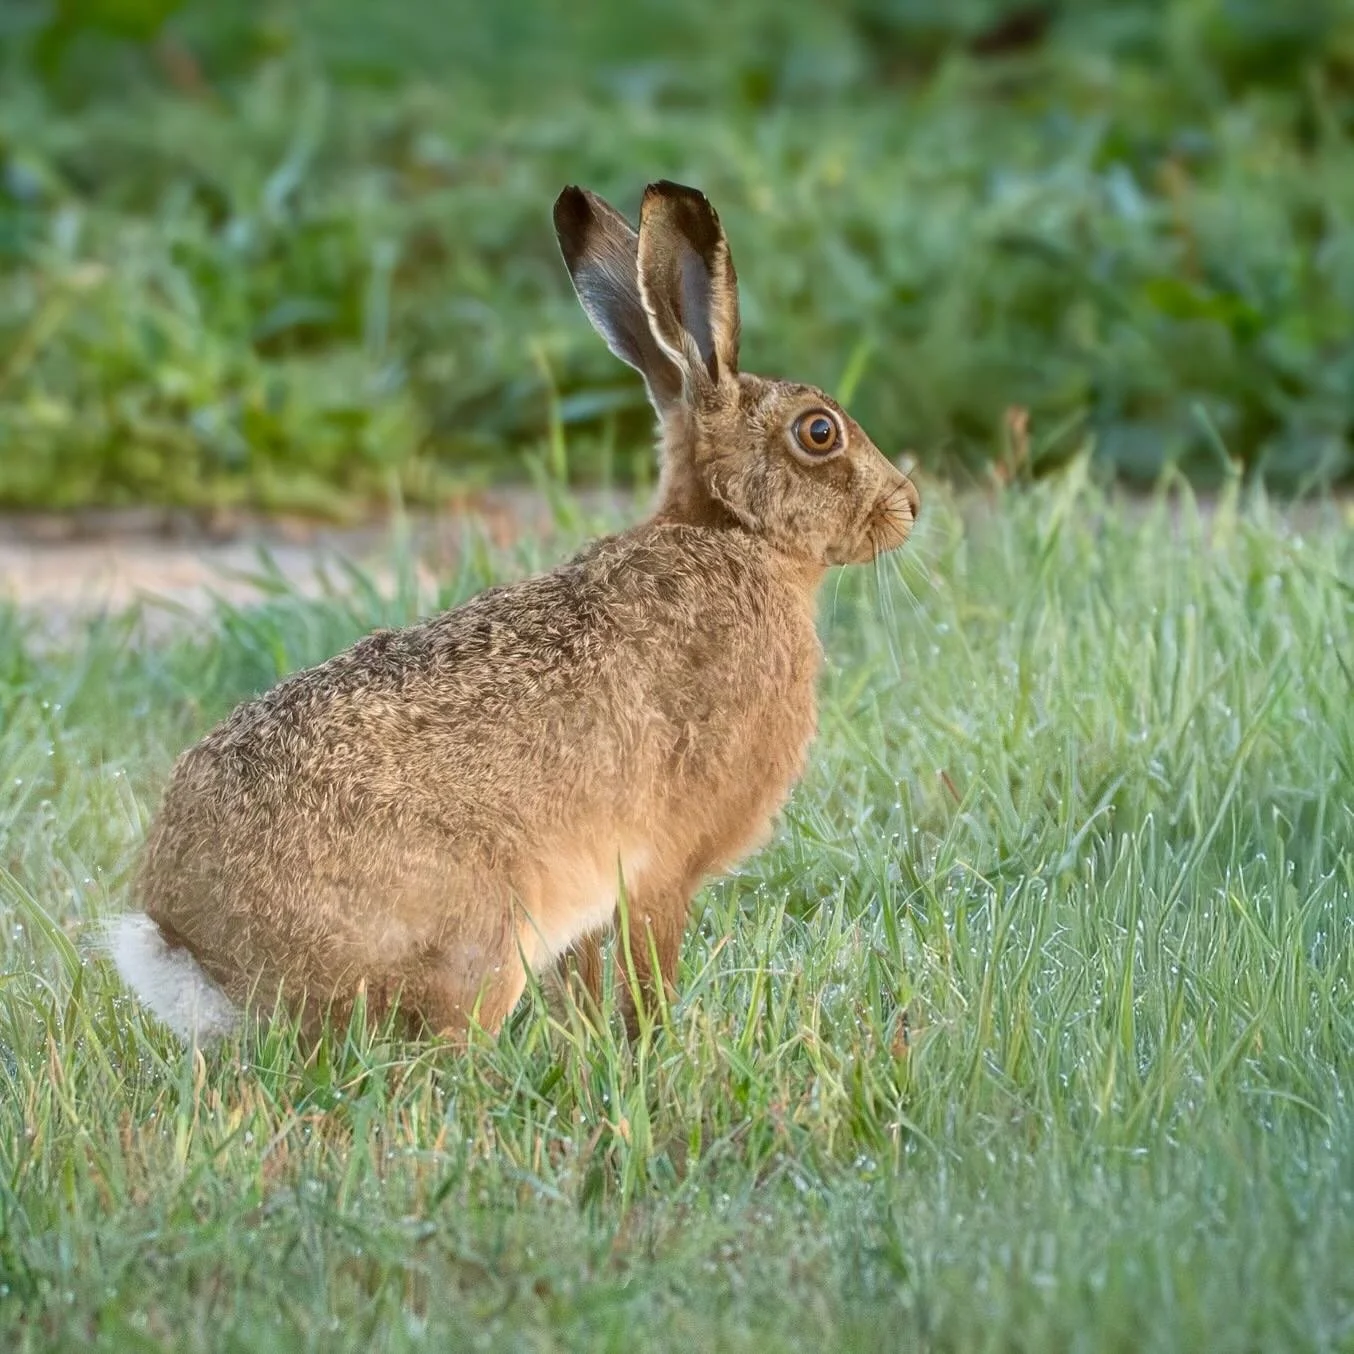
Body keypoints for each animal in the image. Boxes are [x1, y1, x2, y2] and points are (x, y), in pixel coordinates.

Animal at [107, 179, 920, 1046]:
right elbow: (649, 973)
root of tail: (199, 954)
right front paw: (655, 1046)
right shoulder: (661, 869)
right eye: (819, 432)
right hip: (480, 935)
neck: (735, 536)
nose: (908, 505)